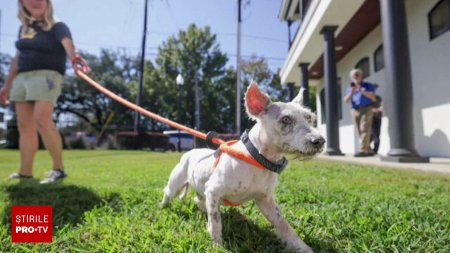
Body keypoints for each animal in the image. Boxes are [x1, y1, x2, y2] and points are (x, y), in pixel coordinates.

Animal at [162, 83, 324, 253]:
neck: (257, 160)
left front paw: (301, 247)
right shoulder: (213, 191)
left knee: (199, 201)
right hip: (176, 185)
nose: (319, 141)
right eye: (285, 119)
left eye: (310, 118)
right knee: (167, 192)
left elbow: (284, 225)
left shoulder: (265, 200)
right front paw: (217, 246)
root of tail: (190, 152)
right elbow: (216, 223)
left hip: (201, 190)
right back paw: (164, 206)